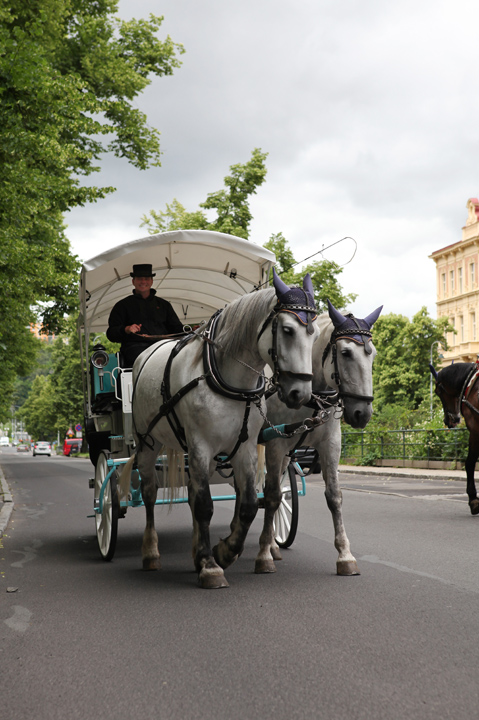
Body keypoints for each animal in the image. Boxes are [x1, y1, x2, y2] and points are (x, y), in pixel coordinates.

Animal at [129, 272, 320, 588]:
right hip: (147, 442)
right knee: (149, 493)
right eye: (288, 330)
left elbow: (249, 505)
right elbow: (205, 505)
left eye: (315, 335)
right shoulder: (200, 446)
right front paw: (210, 566)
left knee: (192, 493)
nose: (300, 393)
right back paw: (151, 553)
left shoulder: (245, 448)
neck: (227, 378)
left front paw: (223, 551)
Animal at [256, 300, 384, 576]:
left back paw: (273, 544)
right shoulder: (274, 443)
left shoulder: (330, 445)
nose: (362, 413)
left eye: (373, 354)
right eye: (346, 353)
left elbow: (334, 496)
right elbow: (271, 496)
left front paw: (345, 555)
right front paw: (262, 556)